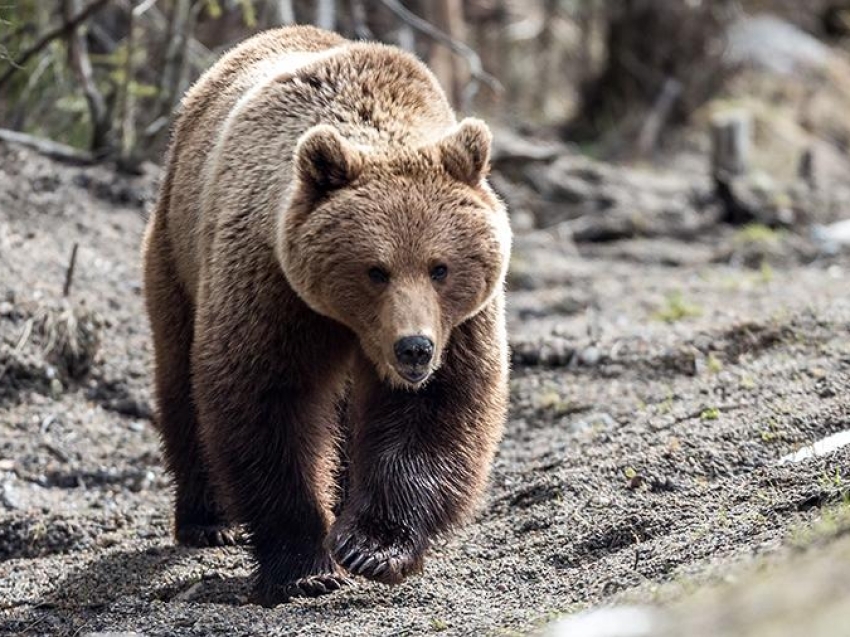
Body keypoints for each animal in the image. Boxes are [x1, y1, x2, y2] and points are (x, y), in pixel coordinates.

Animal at [142, 24, 506, 608]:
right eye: (376, 270)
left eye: (440, 267)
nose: (414, 349)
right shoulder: (272, 286)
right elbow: (267, 402)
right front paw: (304, 567)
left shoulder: (462, 324)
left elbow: (437, 408)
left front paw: (370, 546)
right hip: (178, 252)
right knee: (180, 378)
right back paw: (208, 520)